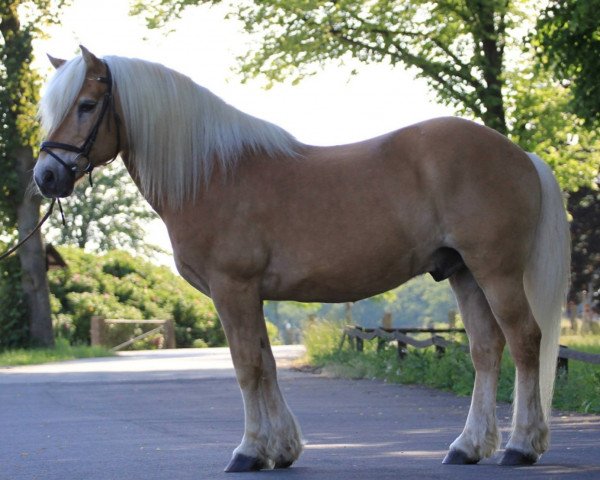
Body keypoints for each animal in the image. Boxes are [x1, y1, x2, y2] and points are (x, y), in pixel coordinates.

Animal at [35, 47, 568, 470]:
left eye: (86, 105)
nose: (45, 177)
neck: (212, 174)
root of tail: (521, 155)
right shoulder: (250, 295)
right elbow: (267, 364)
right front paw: (282, 450)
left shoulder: (232, 289)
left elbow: (246, 365)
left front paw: (249, 451)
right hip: (463, 273)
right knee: (485, 350)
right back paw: (467, 446)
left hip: (495, 271)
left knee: (525, 342)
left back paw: (521, 446)